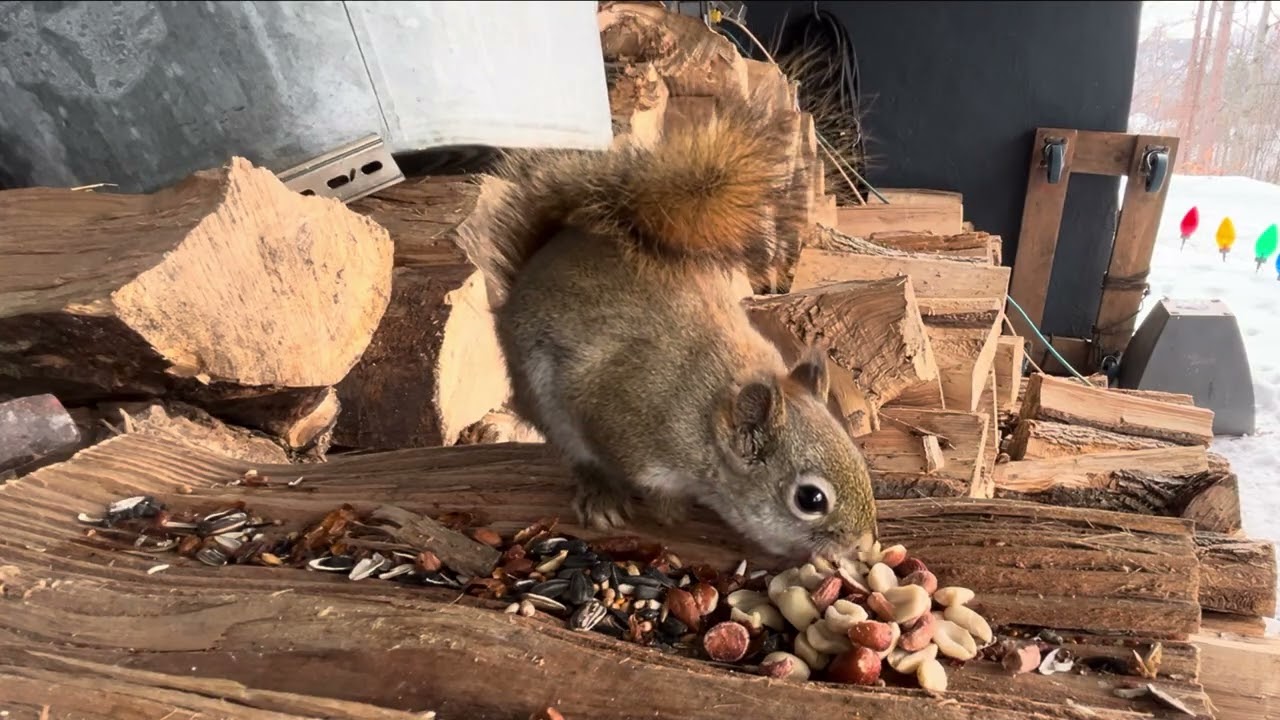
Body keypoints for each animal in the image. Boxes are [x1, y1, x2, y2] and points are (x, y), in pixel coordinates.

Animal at [457, 87, 878, 561]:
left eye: (860, 459)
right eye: (810, 499)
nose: (862, 546)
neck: (707, 416)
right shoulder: (622, 422)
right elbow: (646, 482)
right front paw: (670, 512)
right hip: (545, 399)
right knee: (575, 455)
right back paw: (600, 494)